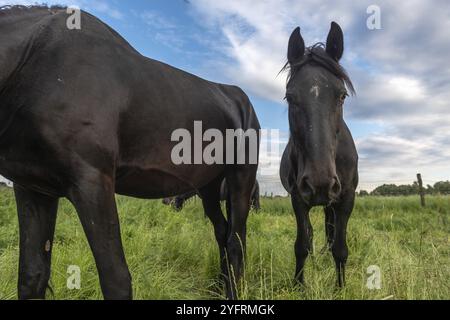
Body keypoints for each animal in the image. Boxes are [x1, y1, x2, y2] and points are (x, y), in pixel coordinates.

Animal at [0, 5, 260, 300]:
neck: (33, 59)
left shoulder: (92, 182)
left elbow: (116, 279)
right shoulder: (33, 189)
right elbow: (32, 276)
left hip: (241, 180)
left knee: (235, 242)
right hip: (209, 187)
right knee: (223, 233)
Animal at [282, 23, 358, 288]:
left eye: (342, 95)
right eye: (290, 97)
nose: (320, 183)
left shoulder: (346, 197)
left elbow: (341, 248)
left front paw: (340, 286)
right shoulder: (298, 197)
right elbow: (302, 244)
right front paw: (298, 284)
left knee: (329, 228)